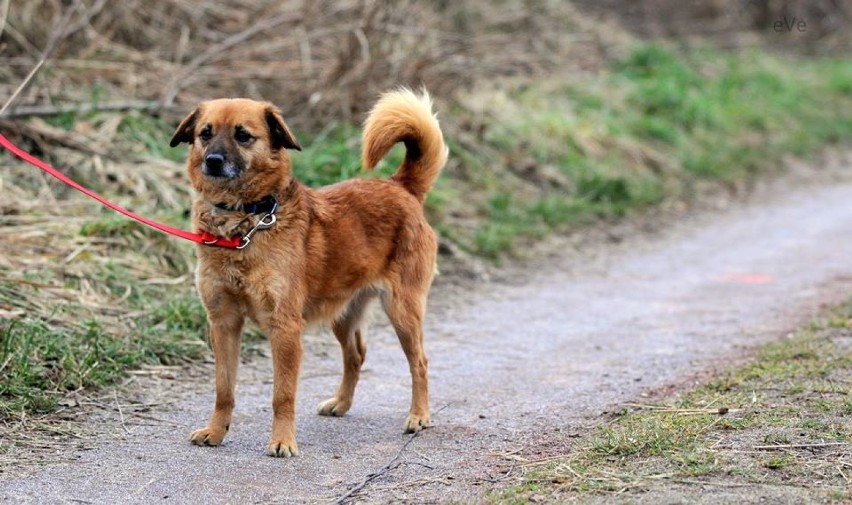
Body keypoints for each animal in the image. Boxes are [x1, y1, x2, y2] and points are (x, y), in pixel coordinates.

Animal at [166, 88, 446, 454]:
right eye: (205, 133)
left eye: (243, 135)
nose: (212, 160)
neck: (245, 222)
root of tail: (400, 187)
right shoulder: (223, 323)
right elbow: (223, 390)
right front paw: (216, 432)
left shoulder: (285, 328)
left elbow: (282, 395)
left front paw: (282, 440)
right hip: (343, 313)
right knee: (355, 355)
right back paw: (340, 403)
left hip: (402, 310)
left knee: (421, 363)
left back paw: (419, 415)